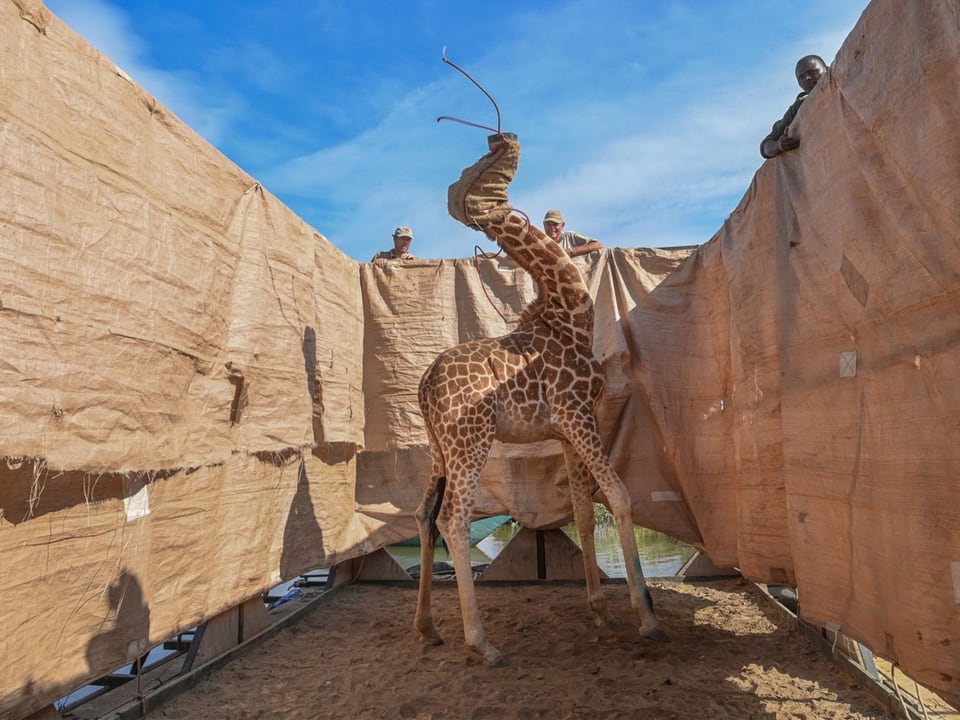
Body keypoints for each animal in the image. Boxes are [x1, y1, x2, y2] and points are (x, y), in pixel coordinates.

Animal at [412, 134, 668, 664]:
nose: (504, 139)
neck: (570, 315)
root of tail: (424, 386)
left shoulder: (568, 428)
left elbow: (586, 513)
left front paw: (600, 610)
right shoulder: (578, 414)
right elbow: (620, 495)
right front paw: (647, 616)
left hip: (438, 449)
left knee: (424, 515)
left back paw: (427, 628)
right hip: (470, 442)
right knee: (454, 520)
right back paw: (482, 643)